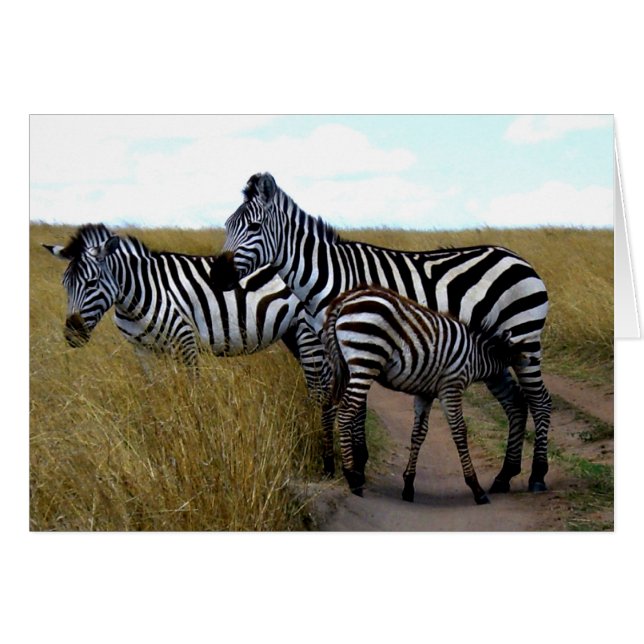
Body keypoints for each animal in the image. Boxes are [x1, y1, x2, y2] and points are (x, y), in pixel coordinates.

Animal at [43, 223, 336, 474]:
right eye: (65, 284)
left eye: (92, 282)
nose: (72, 335)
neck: (137, 296)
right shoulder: (142, 350)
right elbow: (154, 394)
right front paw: (161, 432)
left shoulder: (185, 341)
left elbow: (193, 394)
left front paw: (198, 433)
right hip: (293, 333)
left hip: (308, 332)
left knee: (320, 389)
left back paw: (322, 452)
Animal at [325, 285, 527, 502]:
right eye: (517, 354)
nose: (531, 362)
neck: (476, 355)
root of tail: (345, 300)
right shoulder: (451, 386)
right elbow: (459, 431)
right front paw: (476, 487)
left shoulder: (426, 393)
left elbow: (418, 433)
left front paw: (408, 485)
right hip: (366, 359)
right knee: (346, 412)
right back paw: (352, 477)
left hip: (347, 365)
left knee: (334, 405)